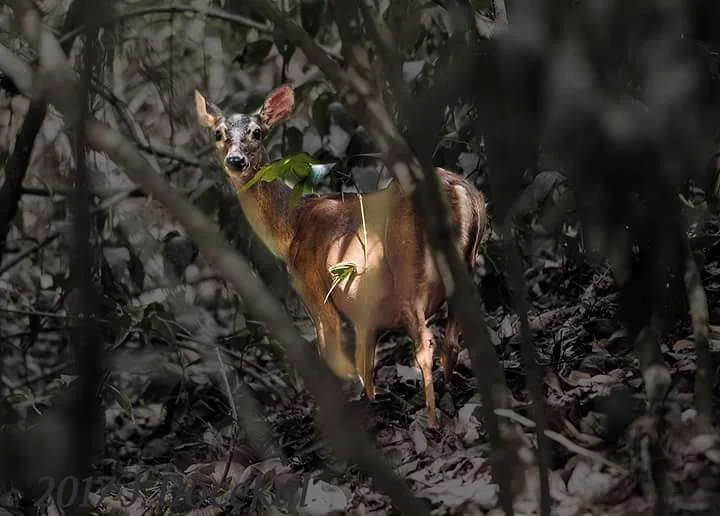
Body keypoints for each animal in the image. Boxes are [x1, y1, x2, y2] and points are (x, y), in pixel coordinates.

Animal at [194, 85, 487, 428]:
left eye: (256, 132)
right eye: (218, 133)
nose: (236, 160)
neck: (292, 228)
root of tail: (461, 190)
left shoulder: (314, 288)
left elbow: (334, 356)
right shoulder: (363, 310)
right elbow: (366, 367)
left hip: (408, 267)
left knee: (426, 344)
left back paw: (431, 419)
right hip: (466, 266)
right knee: (455, 339)